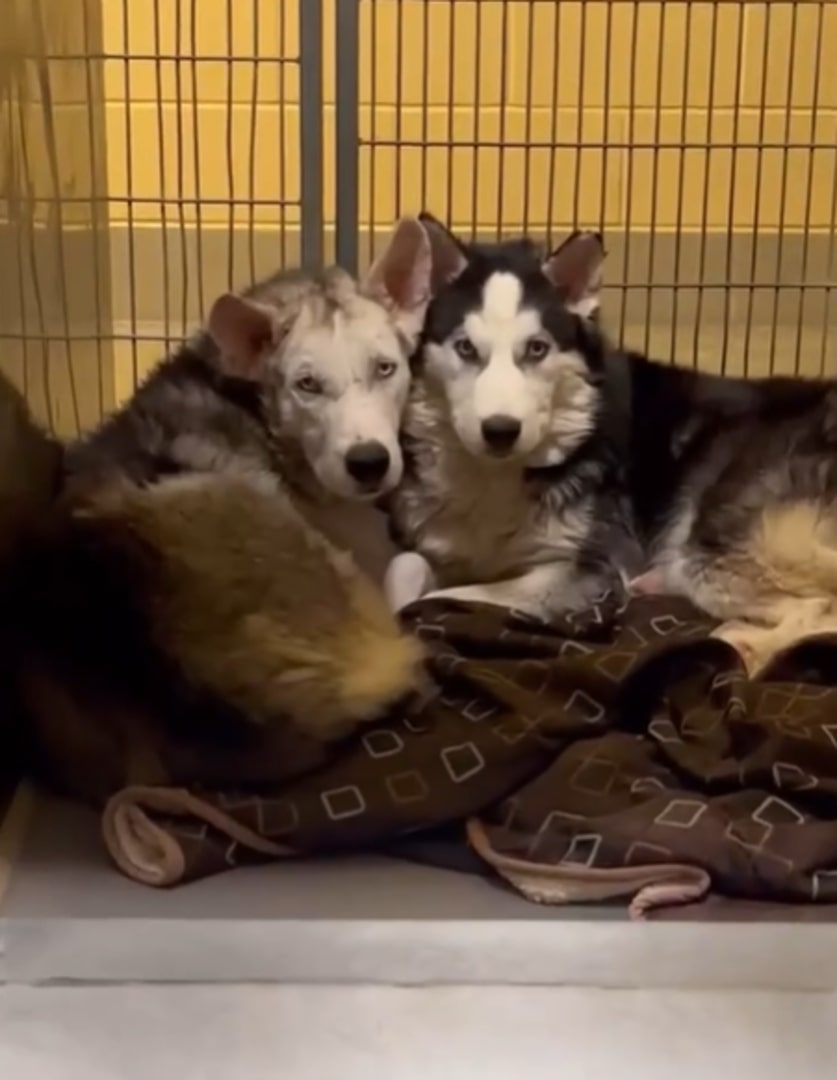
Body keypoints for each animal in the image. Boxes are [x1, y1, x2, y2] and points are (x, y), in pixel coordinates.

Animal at [386, 214, 643, 622]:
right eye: (466, 347)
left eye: (537, 348)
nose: (500, 430)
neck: (495, 477)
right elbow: (405, 564)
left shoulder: (591, 570)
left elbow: (447, 598)